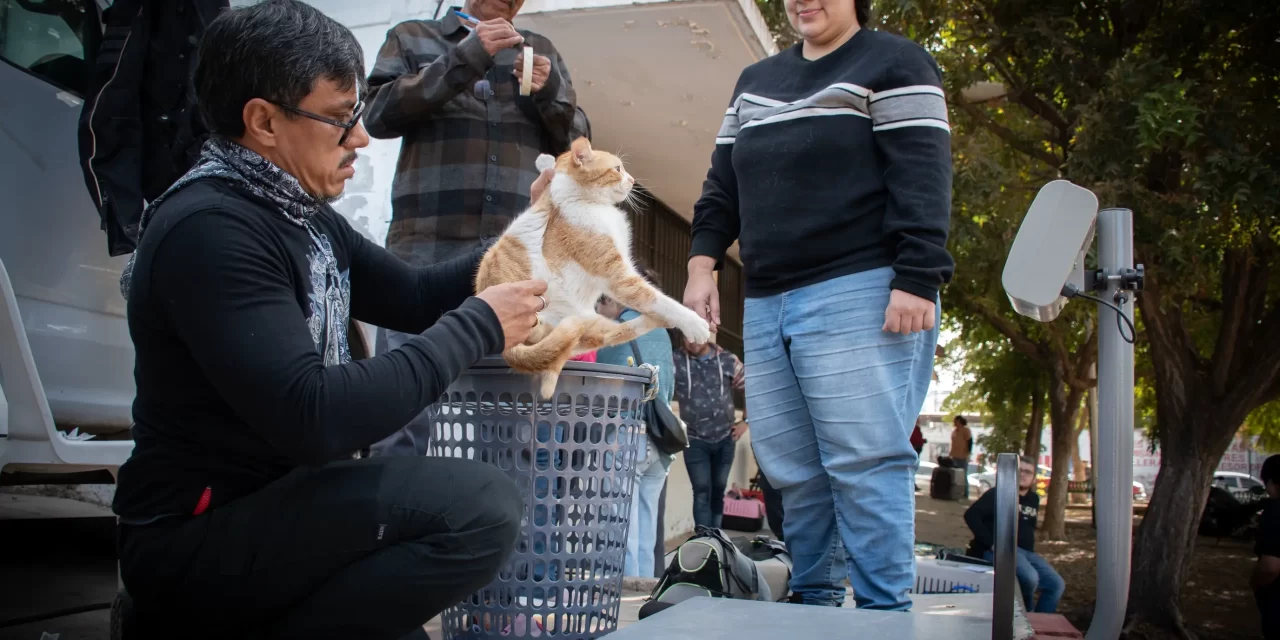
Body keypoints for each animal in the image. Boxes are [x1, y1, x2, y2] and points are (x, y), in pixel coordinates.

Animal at [478, 136, 716, 394]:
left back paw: (656, 320)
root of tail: (508, 352)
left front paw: (546, 162)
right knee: (607, 336)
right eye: (618, 169)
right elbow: (656, 298)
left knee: (608, 336)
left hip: (586, 325)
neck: (589, 203)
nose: (633, 180)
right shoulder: (618, 275)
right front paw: (694, 322)